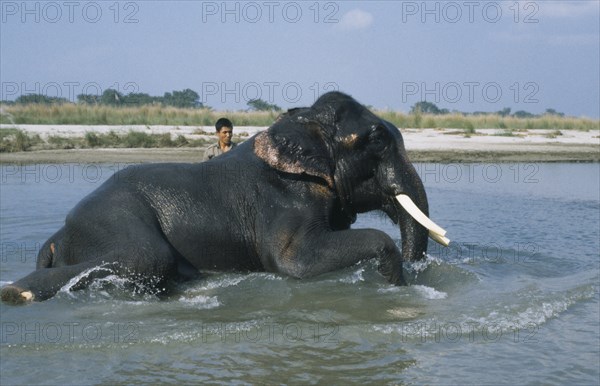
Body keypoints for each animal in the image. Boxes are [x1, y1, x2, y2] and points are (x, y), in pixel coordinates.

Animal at [0, 91, 446, 304]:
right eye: (377, 141)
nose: (413, 275)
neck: (300, 123)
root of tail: (57, 235)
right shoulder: (282, 197)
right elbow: (293, 262)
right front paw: (395, 282)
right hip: (110, 217)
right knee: (147, 257)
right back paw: (16, 293)